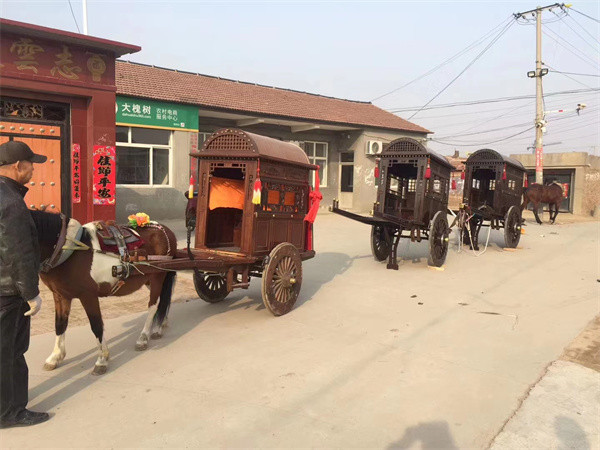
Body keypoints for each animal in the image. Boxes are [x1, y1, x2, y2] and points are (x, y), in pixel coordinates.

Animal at [31, 213, 176, 374]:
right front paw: (55, 357)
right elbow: (60, 324)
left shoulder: (88, 296)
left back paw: (143, 337)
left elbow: (96, 325)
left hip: (158, 276)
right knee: (163, 299)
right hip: (149, 279)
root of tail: (166, 230)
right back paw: (159, 325)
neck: (67, 251)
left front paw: (101, 360)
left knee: (153, 305)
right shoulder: (60, 295)